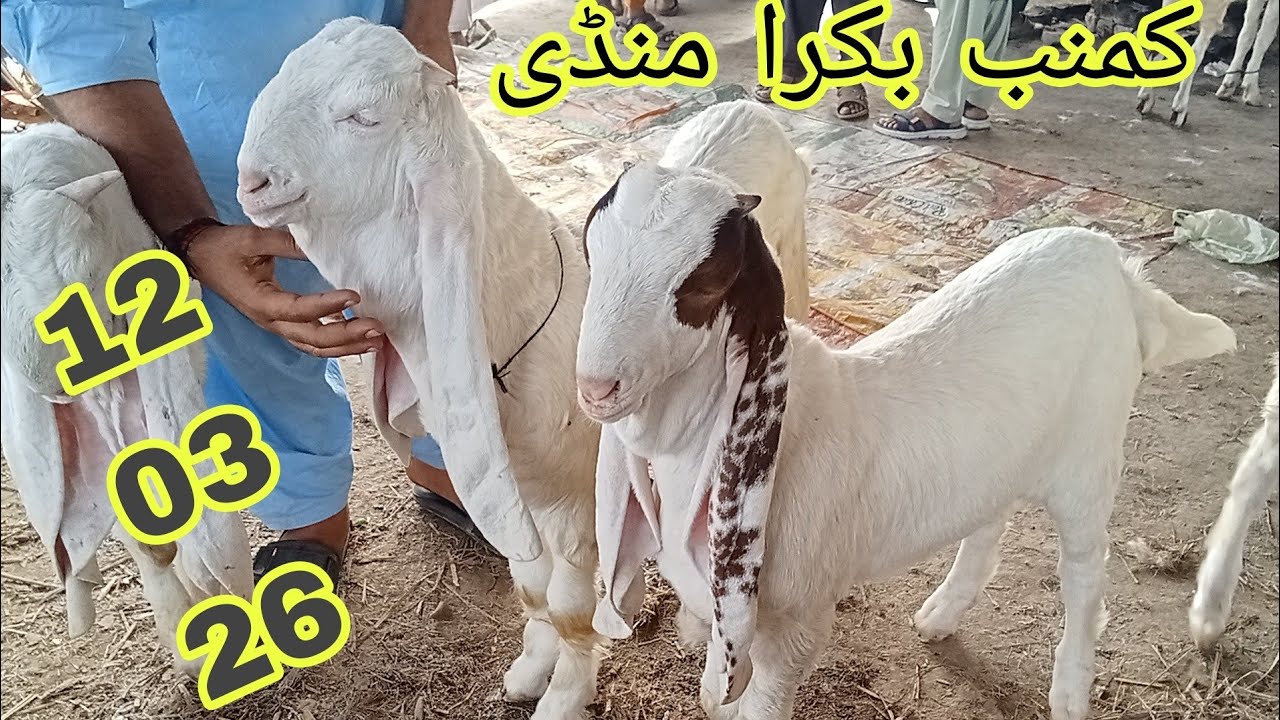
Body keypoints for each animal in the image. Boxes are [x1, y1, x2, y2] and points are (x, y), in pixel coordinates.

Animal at [575, 161, 1237, 720]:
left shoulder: (796, 628)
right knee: (990, 518)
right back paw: (942, 614)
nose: (596, 387)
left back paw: (1070, 691)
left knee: (1084, 571)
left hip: (1090, 455)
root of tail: (1112, 262)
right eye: (592, 251)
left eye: (706, 283)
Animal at [1137, 0, 1279, 127]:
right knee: (1196, 49)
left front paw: (1229, 85)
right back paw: (1179, 109)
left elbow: (1247, 32)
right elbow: (1266, 34)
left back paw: (1145, 98)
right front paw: (1252, 92)